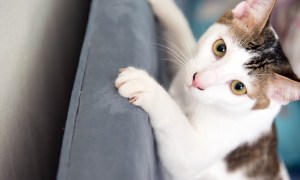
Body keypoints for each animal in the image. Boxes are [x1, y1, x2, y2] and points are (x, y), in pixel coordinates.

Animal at [115, 0, 300, 179]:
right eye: (220, 48)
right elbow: (183, 34)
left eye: (238, 87)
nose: (198, 80)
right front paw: (164, 5)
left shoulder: (196, 155)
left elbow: (176, 127)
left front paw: (146, 87)